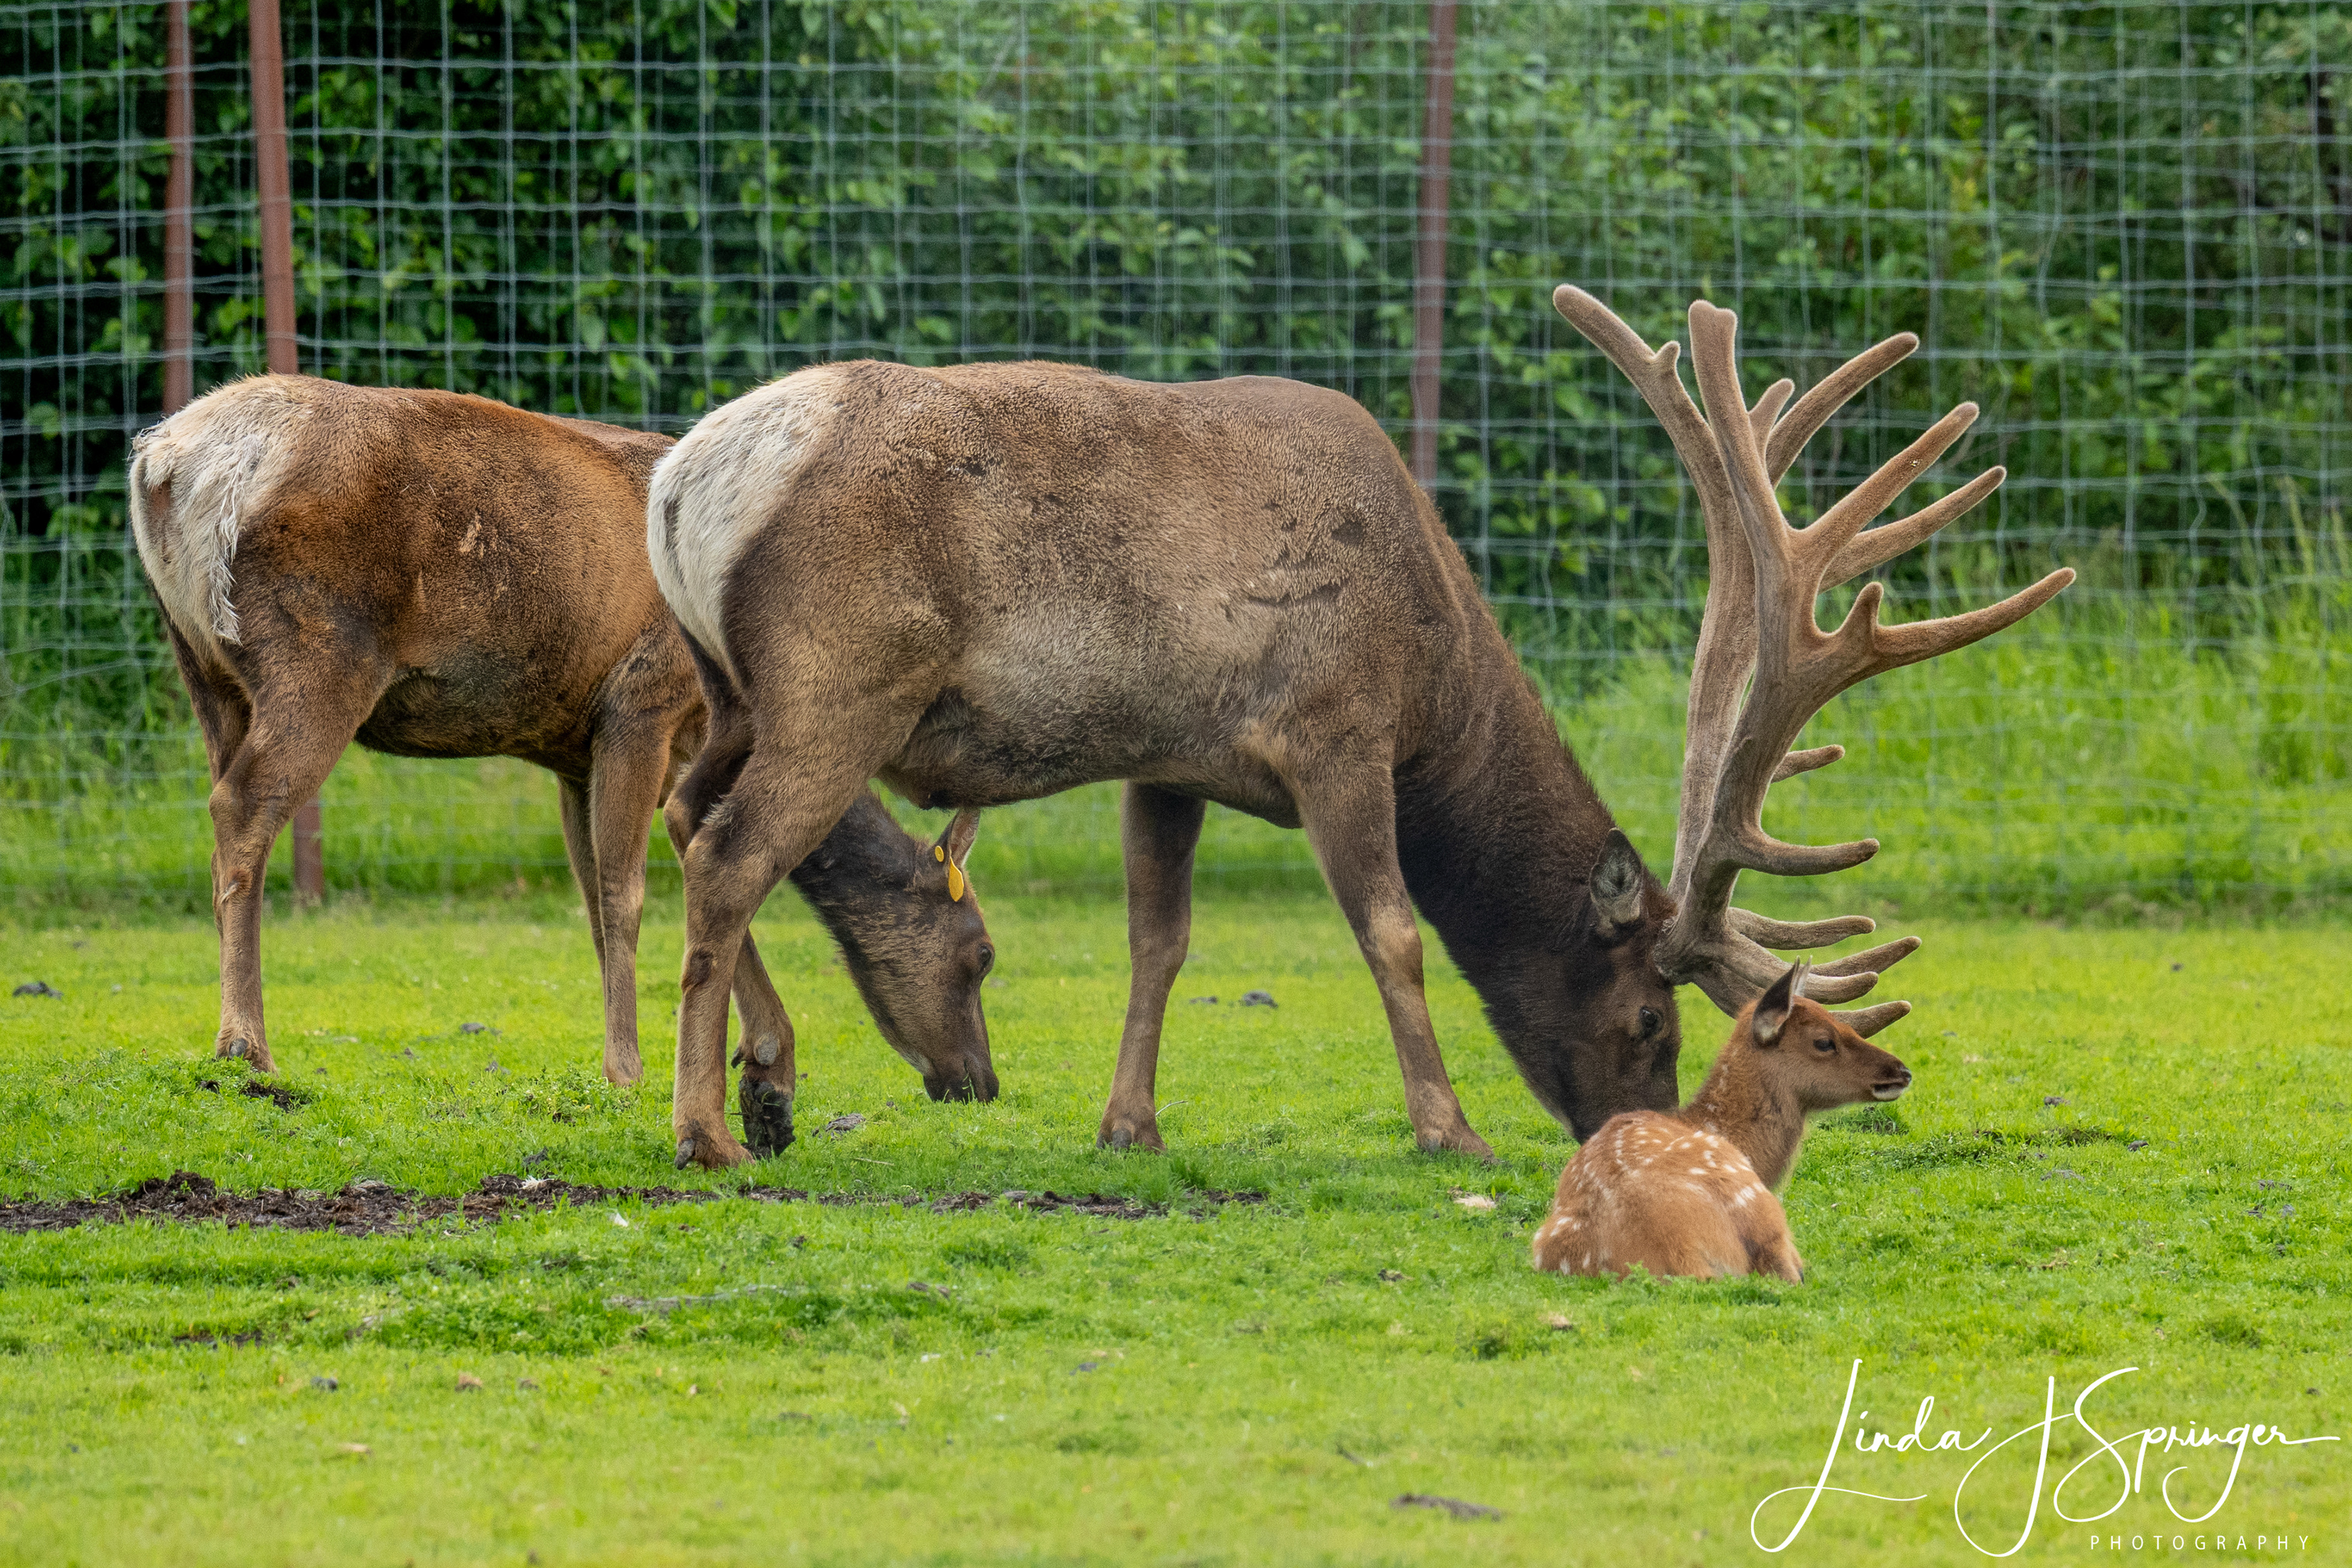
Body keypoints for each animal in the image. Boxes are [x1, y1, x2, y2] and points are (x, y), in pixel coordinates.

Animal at [126, 375, 999, 1157]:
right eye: (982, 953)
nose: (981, 1084)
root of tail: (164, 462)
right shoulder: (642, 703)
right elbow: (629, 892)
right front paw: (632, 1070)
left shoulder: (571, 753)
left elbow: (599, 896)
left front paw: (765, 1075)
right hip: (320, 652)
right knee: (243, 807)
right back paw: (245, 1045)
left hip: (202, 669)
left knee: (220, 800)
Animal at [644, 286, 2070, 1170]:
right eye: (1649, 1024)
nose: (1641, 1132)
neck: (1439, 679)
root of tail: (681, 480)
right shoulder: (1334, 730)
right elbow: (1392, 931)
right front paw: (1450, 1128)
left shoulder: (1168, 759)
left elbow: (1159, 942)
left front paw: (1130, 1125)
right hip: (838, 682)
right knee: (729, 855)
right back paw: (705, 1128)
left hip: (735, 691)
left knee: (686, 815)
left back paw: (768, 1086)